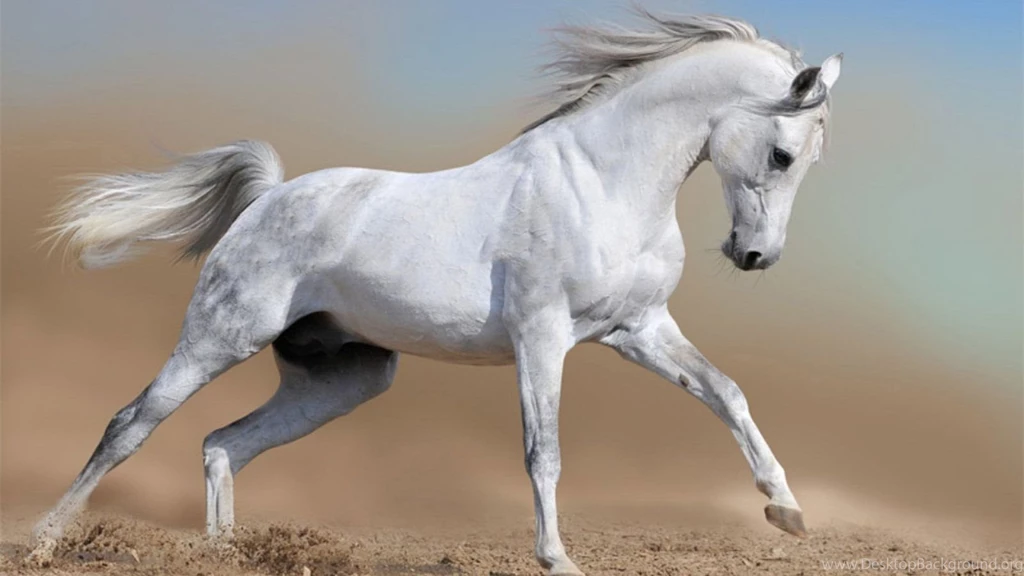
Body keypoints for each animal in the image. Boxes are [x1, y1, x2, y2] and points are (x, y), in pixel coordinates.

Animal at [30, 11, 841, 575]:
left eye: (807, 161)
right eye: (782, 154)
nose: (755, 255)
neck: (603, 181)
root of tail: (267, 197)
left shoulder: (638, 329)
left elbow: (726, 393)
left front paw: (787, 511)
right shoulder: (542, 337)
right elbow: (543, 451)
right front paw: (558, 558)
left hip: (343, 379)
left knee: (223, 443)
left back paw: (225, 553)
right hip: (219, 337)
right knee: (131, 425)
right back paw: (44, 541)